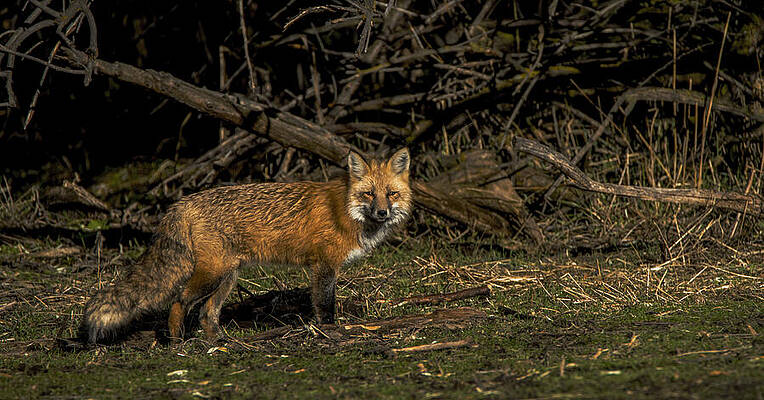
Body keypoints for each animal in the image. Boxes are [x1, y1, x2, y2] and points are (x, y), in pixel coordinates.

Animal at [81, 148, 412, 343]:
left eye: (391, 194)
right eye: (368, 194)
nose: (382, 213)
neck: (346, 209)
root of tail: (182, 202)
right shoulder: (324, 266)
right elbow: (325, 304)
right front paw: (330, 331)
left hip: (227, 277)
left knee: (207, 314)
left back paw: (219, 343)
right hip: (212, 274)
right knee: (179, 300)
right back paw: (177, 342)